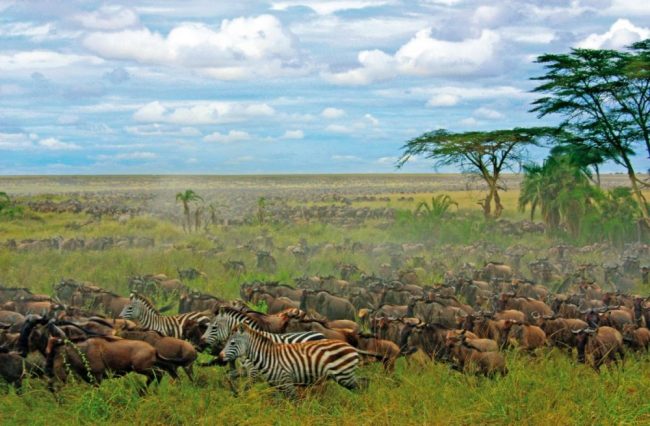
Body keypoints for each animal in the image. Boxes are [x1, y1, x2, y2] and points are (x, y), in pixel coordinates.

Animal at [220, 323, 362, 399]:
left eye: (232, 343)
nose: (220, 357)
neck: (266, 356)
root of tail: (350, 346)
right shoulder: (277, 384)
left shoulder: (286, 381)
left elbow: (294, 402)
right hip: (343, 375)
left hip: (343, 375)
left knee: (360, 386)